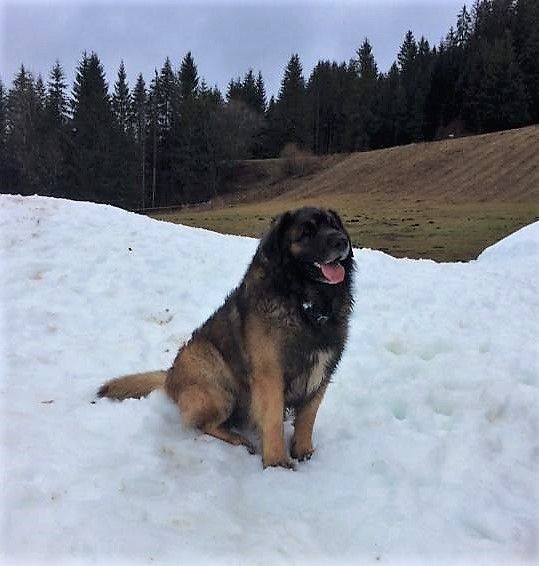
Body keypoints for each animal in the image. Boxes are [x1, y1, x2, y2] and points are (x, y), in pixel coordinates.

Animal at [99, 209, 354, 470]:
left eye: (334, 225)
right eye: (307, 232)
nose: (342, 241)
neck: (305, 303)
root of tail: (170, 376)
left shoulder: (322, 371)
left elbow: (308, 416)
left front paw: (303, 451)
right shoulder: (270, 375)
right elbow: (272, 419)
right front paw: (277, 462)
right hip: (218, 387)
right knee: (204, 424)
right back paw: (237, 438)